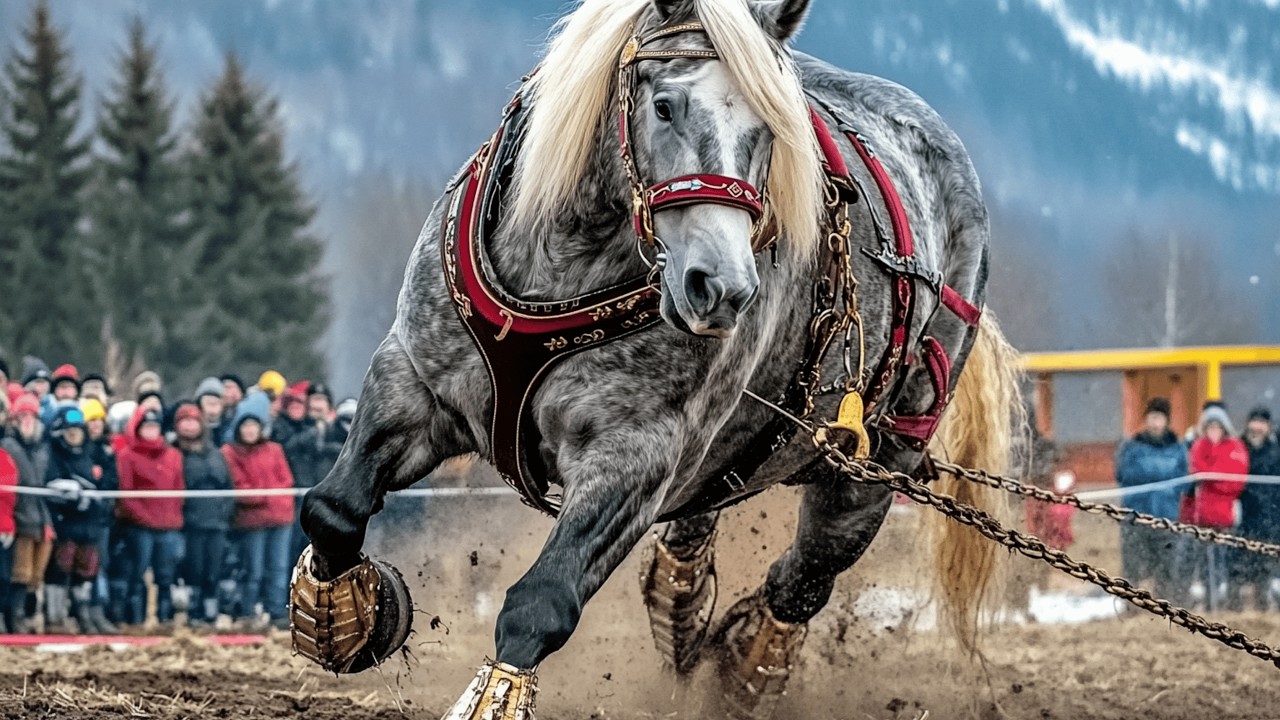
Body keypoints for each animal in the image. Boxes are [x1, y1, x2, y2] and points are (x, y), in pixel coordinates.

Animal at [289, 0, 1019, 717]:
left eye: (771, 128)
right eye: (664, 105)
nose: (721, 287)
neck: (562, 275)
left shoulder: (635, 457)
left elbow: (542, 602)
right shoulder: (412, 382)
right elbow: (333, 508)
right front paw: (347, 616)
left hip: (875, 462)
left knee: (803, 580)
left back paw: (744, 666)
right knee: (700, 529)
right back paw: (681, 605)